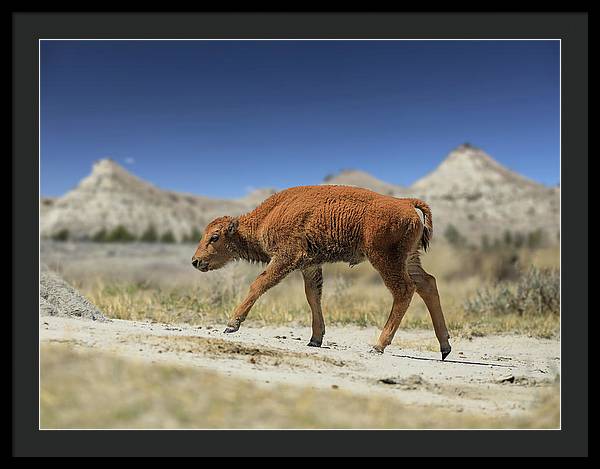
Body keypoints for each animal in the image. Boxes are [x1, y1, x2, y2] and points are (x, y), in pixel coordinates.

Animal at [192, 184, 450, 358]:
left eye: (214, 237)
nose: (195, 261)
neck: (266, 217)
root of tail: (406, 203)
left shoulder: (286, 258)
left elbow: (259, 283)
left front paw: (232, 324)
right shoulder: (310, 265)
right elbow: (313, 297)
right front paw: (315, 339)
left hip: (385, 259)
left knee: (404, 290)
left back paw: (378, 345)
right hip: (409, 259)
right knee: (427, 284)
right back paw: (445, 346)